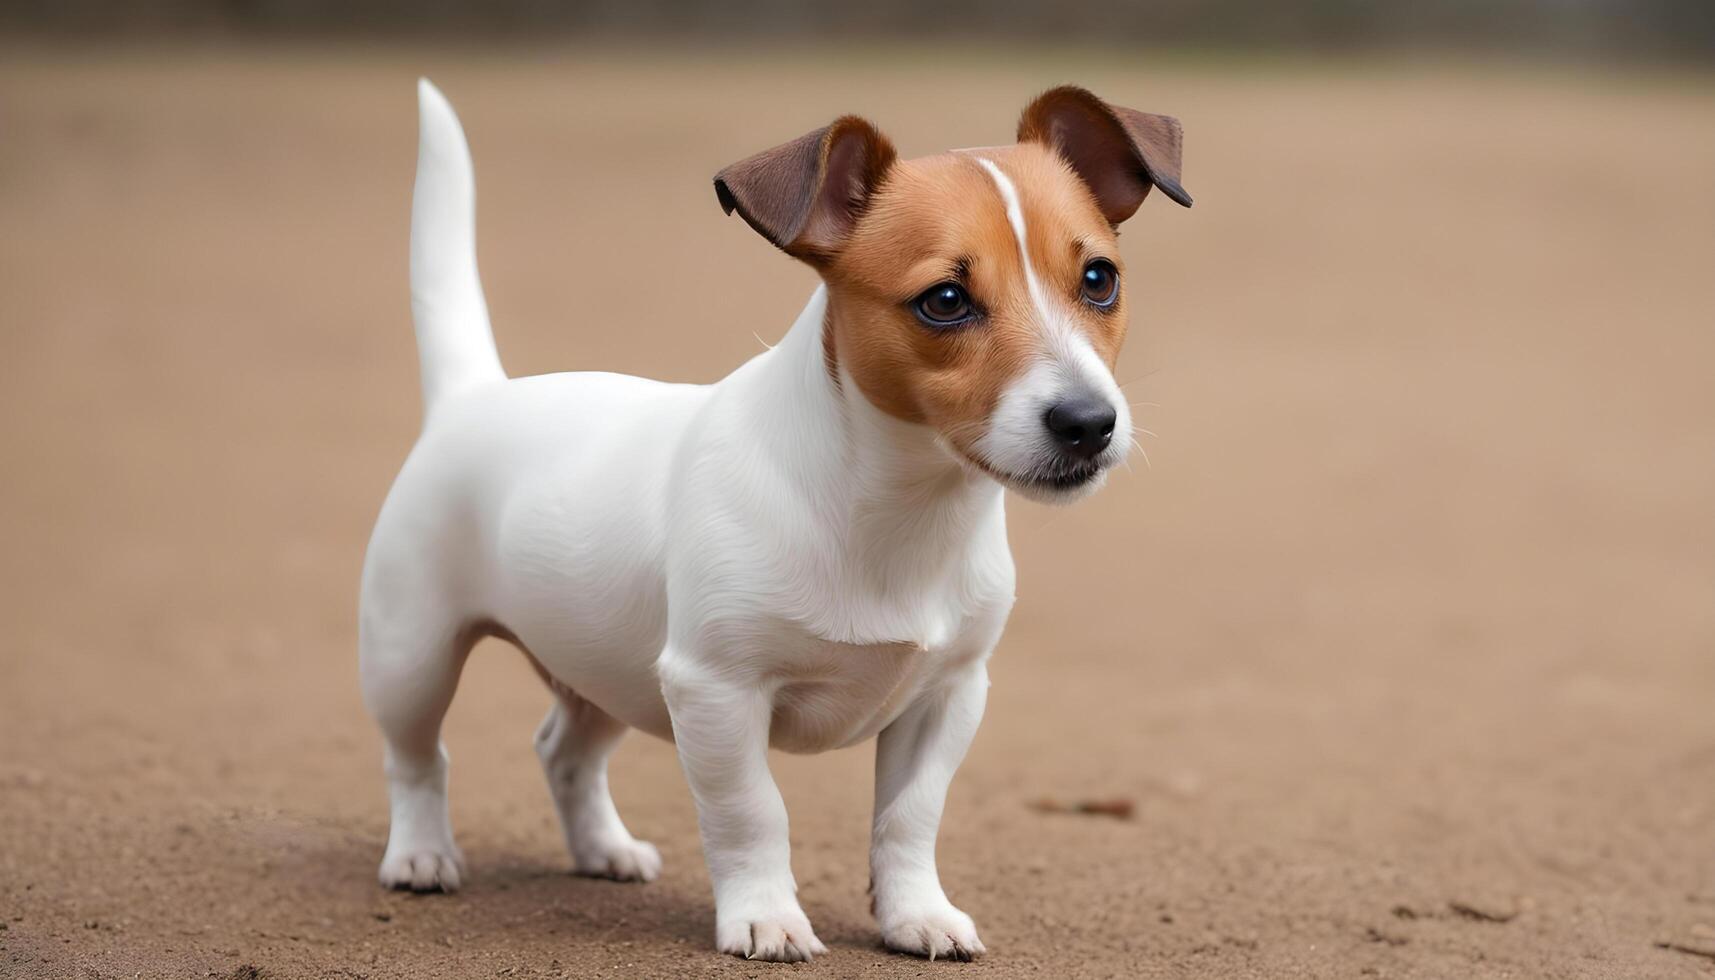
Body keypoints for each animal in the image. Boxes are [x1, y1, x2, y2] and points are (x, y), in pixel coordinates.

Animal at [358, 78, 1193, 967]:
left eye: (1098, 279)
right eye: (944, 301)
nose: (1088, 423)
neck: (899, 512)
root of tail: (473, 394)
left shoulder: (949, 695)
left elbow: (910, 818)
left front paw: (916, 915)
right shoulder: (716, 692)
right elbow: (752, 814)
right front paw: (764, 918)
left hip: (605, 668)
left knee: (564, 754)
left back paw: (602, 851)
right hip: (412, 656)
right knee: (417, 758)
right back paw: (421, 855)